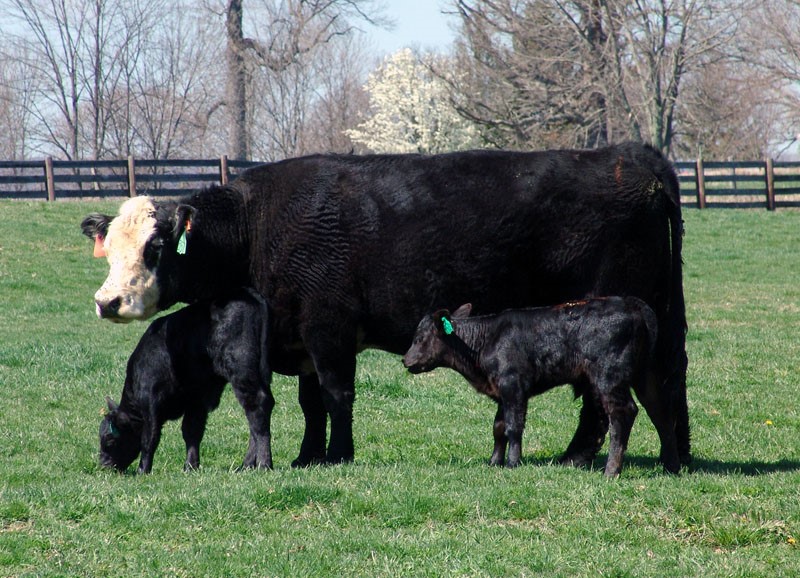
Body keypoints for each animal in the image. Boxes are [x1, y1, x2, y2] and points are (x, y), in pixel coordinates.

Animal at [99, 288, 276, 472]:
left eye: (110, 439)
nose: (103, 465)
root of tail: (246, 293)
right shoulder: (196, 399)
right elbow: (191, 431)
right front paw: (191, 466)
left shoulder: (150, 402)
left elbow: (149, 438)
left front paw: (143, 470)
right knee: (256, 414)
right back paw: (247, 464)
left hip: (240, 367)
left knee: (257, 408)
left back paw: (264, 464)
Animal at [404, 294, 680, 474]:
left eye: (420, 337)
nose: (406, 360)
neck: (486, 341)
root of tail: (632, 305)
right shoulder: (502, 392)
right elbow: (498, 427)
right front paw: (494, 463)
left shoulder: (513, 385)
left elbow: (513, 426)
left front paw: (513, 463)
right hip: (645, 375)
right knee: (661, 412)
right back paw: (672, 467)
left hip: (610, 377)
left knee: (623, 413)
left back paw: (612, 471)